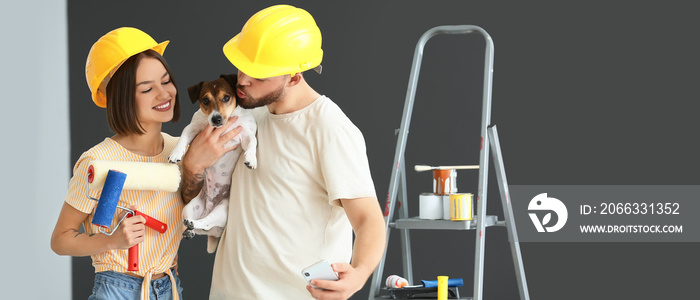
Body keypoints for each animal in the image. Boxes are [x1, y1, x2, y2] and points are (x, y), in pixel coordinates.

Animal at [169, 74, 258, 252]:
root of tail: (208, 209)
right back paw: (190, 228)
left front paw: (251, 158)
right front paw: (176, 153)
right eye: (205, 100)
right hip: (189, 207)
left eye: (226, 97)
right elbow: (183, 135)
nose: (216, 119)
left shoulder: (245, 135)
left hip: (223, 210)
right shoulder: (194, 127)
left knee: (207, 223)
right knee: (199, 224)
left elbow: (253, 142)